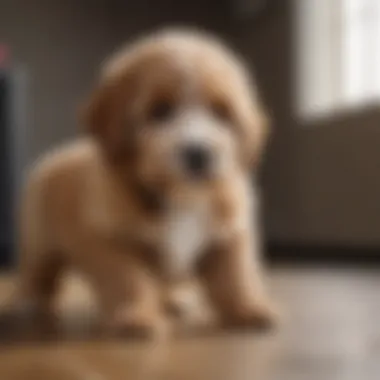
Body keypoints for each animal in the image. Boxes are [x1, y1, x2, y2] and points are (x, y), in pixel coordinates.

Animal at [14, 28, 276, 336]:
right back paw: (26, 302)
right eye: (160, 110)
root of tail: (57, 153)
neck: (181, 195)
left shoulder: (230, 232)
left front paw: (249, 308)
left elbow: (236, 276)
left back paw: (174, 299)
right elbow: (128, 279)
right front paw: (136, 316)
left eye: (221, 112)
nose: (198, 153)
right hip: (39, 241)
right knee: (37, 273)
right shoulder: (111, 240)